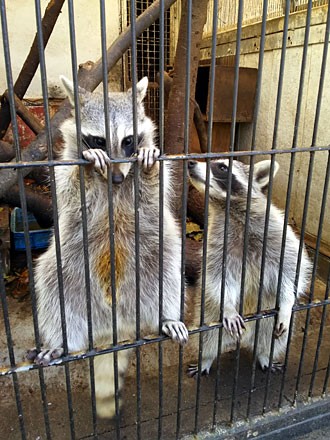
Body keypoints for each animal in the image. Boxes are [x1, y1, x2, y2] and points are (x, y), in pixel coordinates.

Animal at [27, 77, 188, 418]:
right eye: (98, 140)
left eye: (128, 140)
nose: (116, 177)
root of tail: (115, 323)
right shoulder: (63, 168)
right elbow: (71, 190)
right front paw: (88, 167)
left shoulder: (151, 186)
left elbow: (156, 191)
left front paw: (148, 164)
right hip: (70, 267)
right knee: (51, 283)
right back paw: (61, 342)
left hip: (152, 264)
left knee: (168, 267)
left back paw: (166, 316)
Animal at [187, 158, 310, 374]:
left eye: (222, 167)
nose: (191, 163)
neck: (227, 207)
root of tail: (244, 339)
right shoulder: (217, 243)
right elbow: (218, 277)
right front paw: (228, 306)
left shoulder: (277, 232)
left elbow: (292, 267)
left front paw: (287, 302)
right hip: (209, 315)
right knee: (207, 338)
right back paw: (206, 359)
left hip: (267, 316)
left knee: (270, 338)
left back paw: (264, 355)